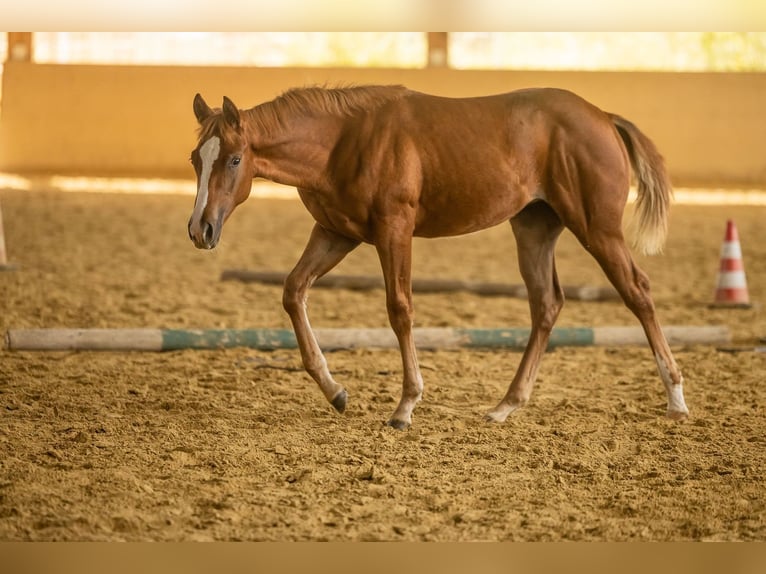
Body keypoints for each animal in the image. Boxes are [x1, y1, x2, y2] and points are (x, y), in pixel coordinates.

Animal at [188, 85, 689, 429]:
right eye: (196, 159)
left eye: (233, 159)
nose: (200, 229)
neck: (343, 141)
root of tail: (602, 117)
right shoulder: (336, 234)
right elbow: (294, 291)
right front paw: (335, 391)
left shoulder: (394, 231)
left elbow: (400, 309)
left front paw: (405, 406)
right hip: (534, 231)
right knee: (546, 305)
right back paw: (505, 405)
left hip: (598, 230)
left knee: (637, 291)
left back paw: (676, 398)